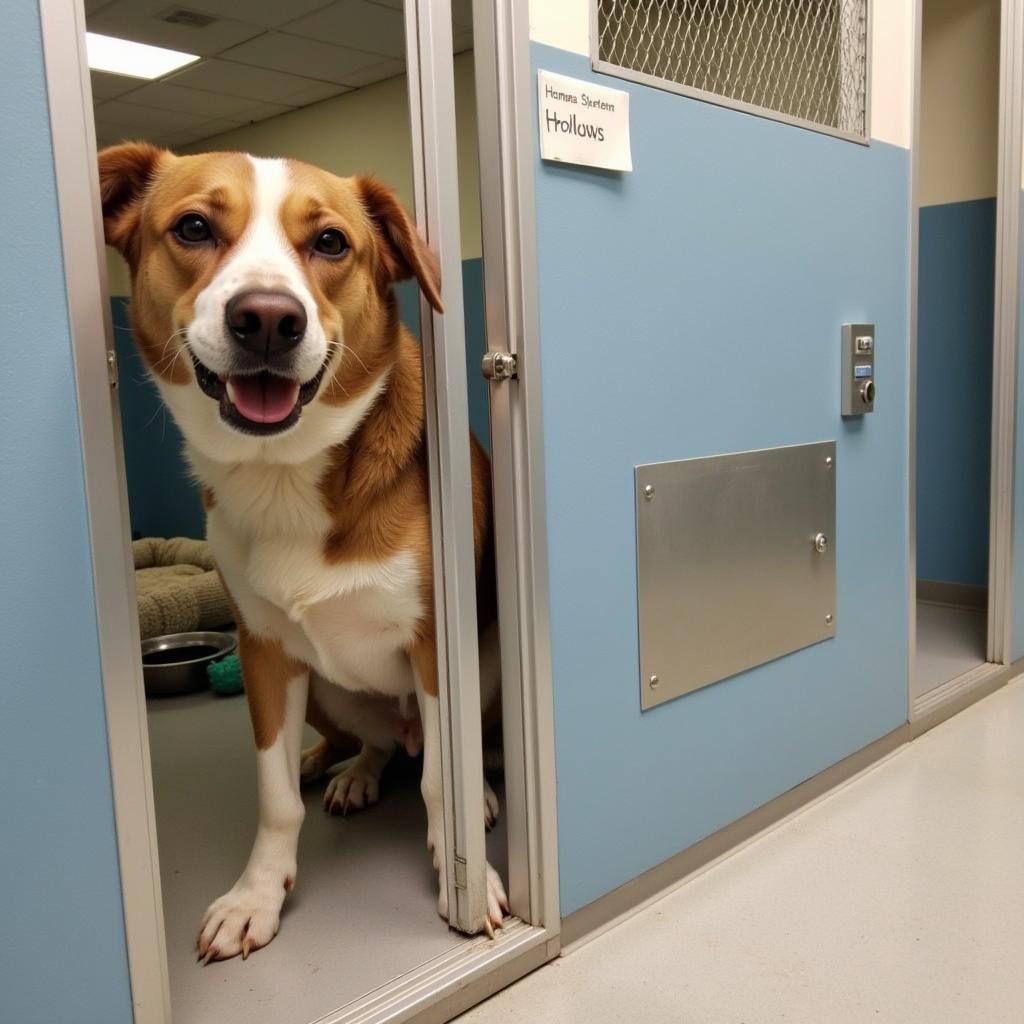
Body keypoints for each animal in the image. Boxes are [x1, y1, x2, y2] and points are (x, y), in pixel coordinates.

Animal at [99, 142, 507, 958]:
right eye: (193, 227)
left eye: (330, 242)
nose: (266, 319)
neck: (284, 474)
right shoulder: (263, 652)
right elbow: (275, 795)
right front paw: (256, 896)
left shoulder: (435, 644)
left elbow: (440, 779)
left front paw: (468, 877)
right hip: (320, 688)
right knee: (379, 748)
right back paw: (346, 768)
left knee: (445, 753)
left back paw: (469, 791)